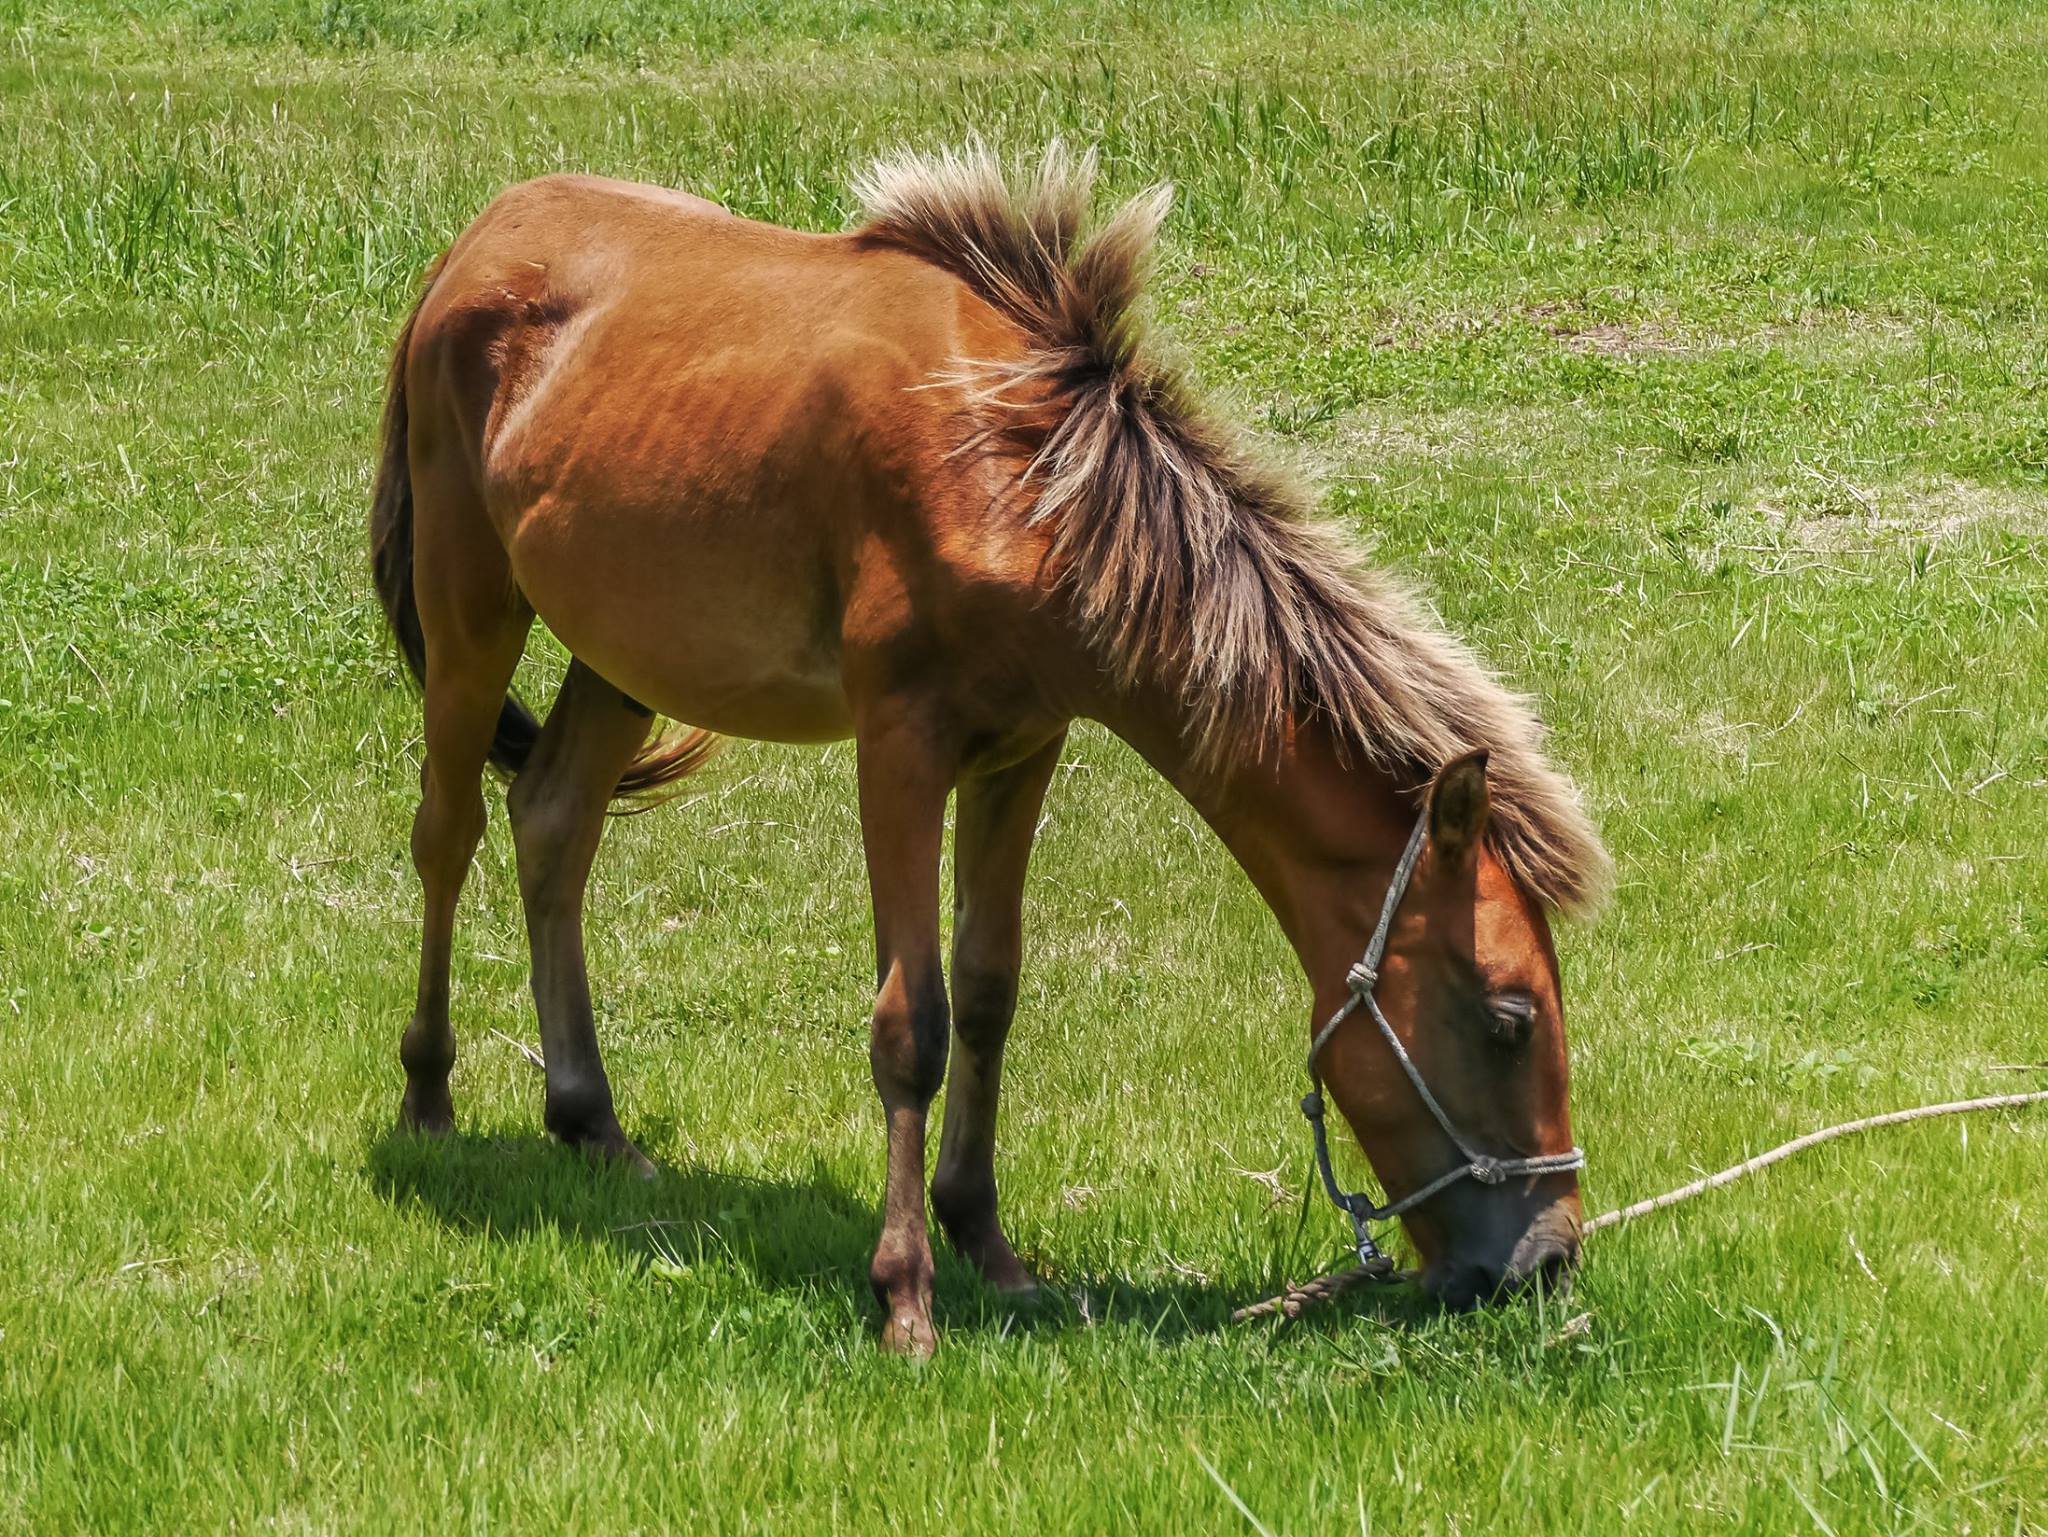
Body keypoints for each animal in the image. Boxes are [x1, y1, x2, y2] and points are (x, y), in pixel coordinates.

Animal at [372, 141, 1613, 1344]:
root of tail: (470, 247)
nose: (1543, 1261)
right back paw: (428, 1096)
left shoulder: (1022, 748)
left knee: (552, 819)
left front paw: (986, 1243)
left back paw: (591, 1120)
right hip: (470, 606)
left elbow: (985, 990)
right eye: (1508, 1018)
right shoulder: (898, 743)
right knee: (449, 830)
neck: (1024, 475)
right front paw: (904, 1293)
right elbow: (909, 1023)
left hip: (623, 648)